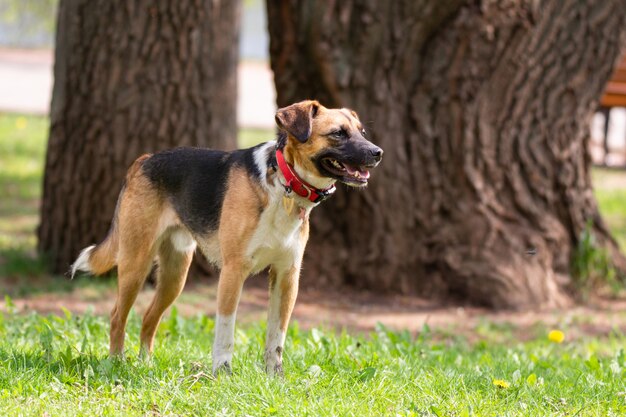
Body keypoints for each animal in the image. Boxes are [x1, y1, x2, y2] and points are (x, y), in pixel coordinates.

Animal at [69, 100, 380, 374]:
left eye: (362, 132)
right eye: (338, 133)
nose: (378, 152)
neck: (284, 183)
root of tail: (144, 160)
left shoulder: (286, 276)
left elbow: (276, 337)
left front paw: (274, 377)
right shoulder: (233, 271)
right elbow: (226, 332)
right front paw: (223, 372)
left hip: (175, 276)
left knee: (148, 319)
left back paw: (144, 364)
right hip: (136, 264)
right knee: (116, 317)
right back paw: (115, 363)